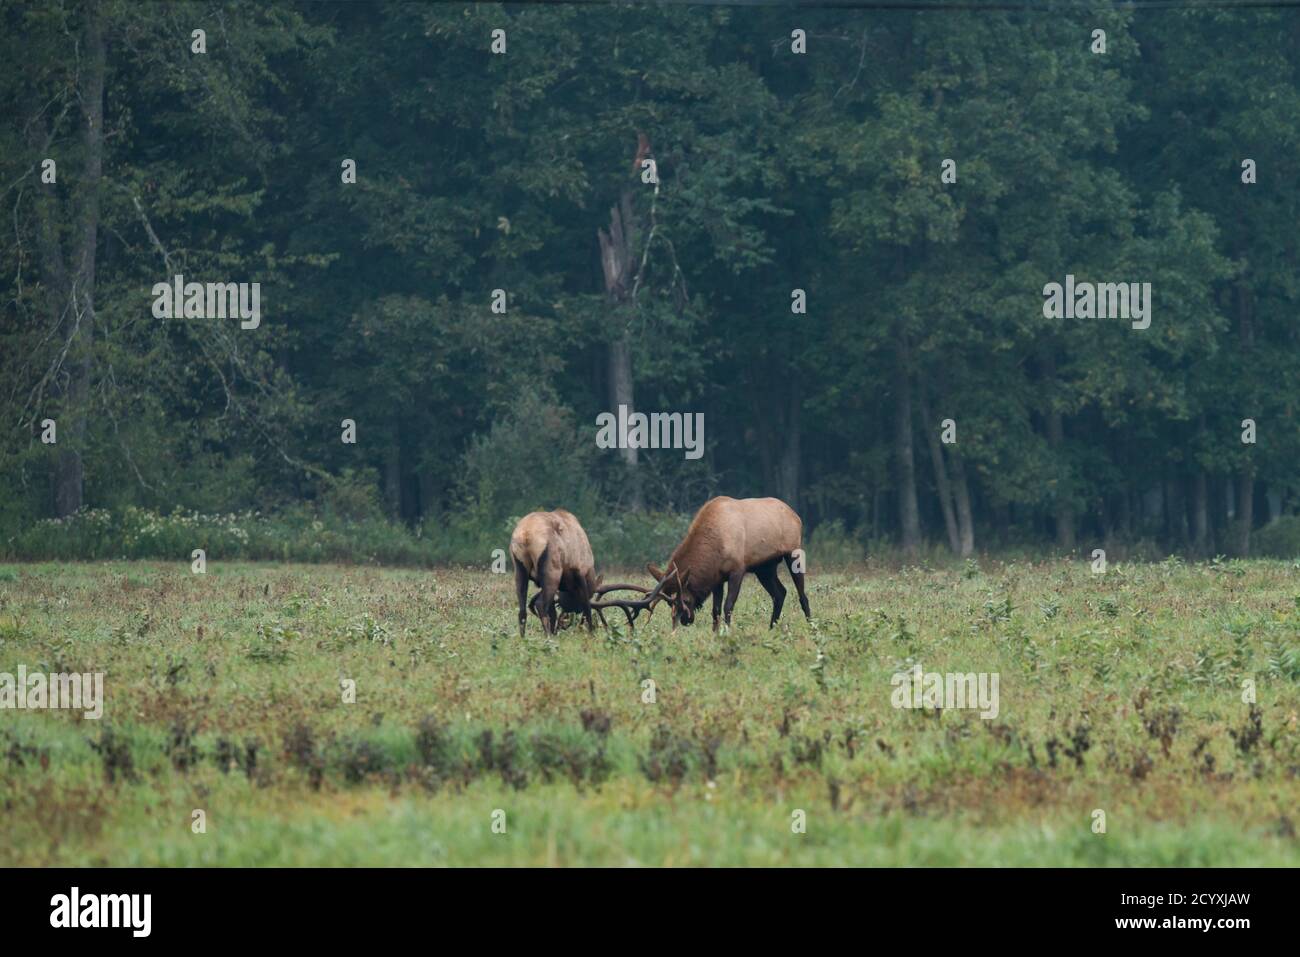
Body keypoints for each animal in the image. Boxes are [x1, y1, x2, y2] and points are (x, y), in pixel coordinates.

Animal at [509, 509, 647, 634]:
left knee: (522, 611)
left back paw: (525, 638)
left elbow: (553, 612)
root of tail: (526, 535)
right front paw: (591, 633)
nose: (564, 623)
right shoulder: (580, 572)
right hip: (552, 571)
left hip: (519, 570)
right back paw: (548, 637)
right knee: (540, 604)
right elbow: (587, 608)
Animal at [592, 496, 811, 631]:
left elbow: (728, 606)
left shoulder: (737, 570)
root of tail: (796, 515)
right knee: (780, 593)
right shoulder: (717, 577)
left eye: (685, 599)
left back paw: (810, 627)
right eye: (669, 603)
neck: (715, 546)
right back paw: (771, 628)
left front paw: (726, 632)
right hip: (764, 568)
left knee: (802, 595)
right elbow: (715, 610)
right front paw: (715, 634)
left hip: (793, 552)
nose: (684, 620)